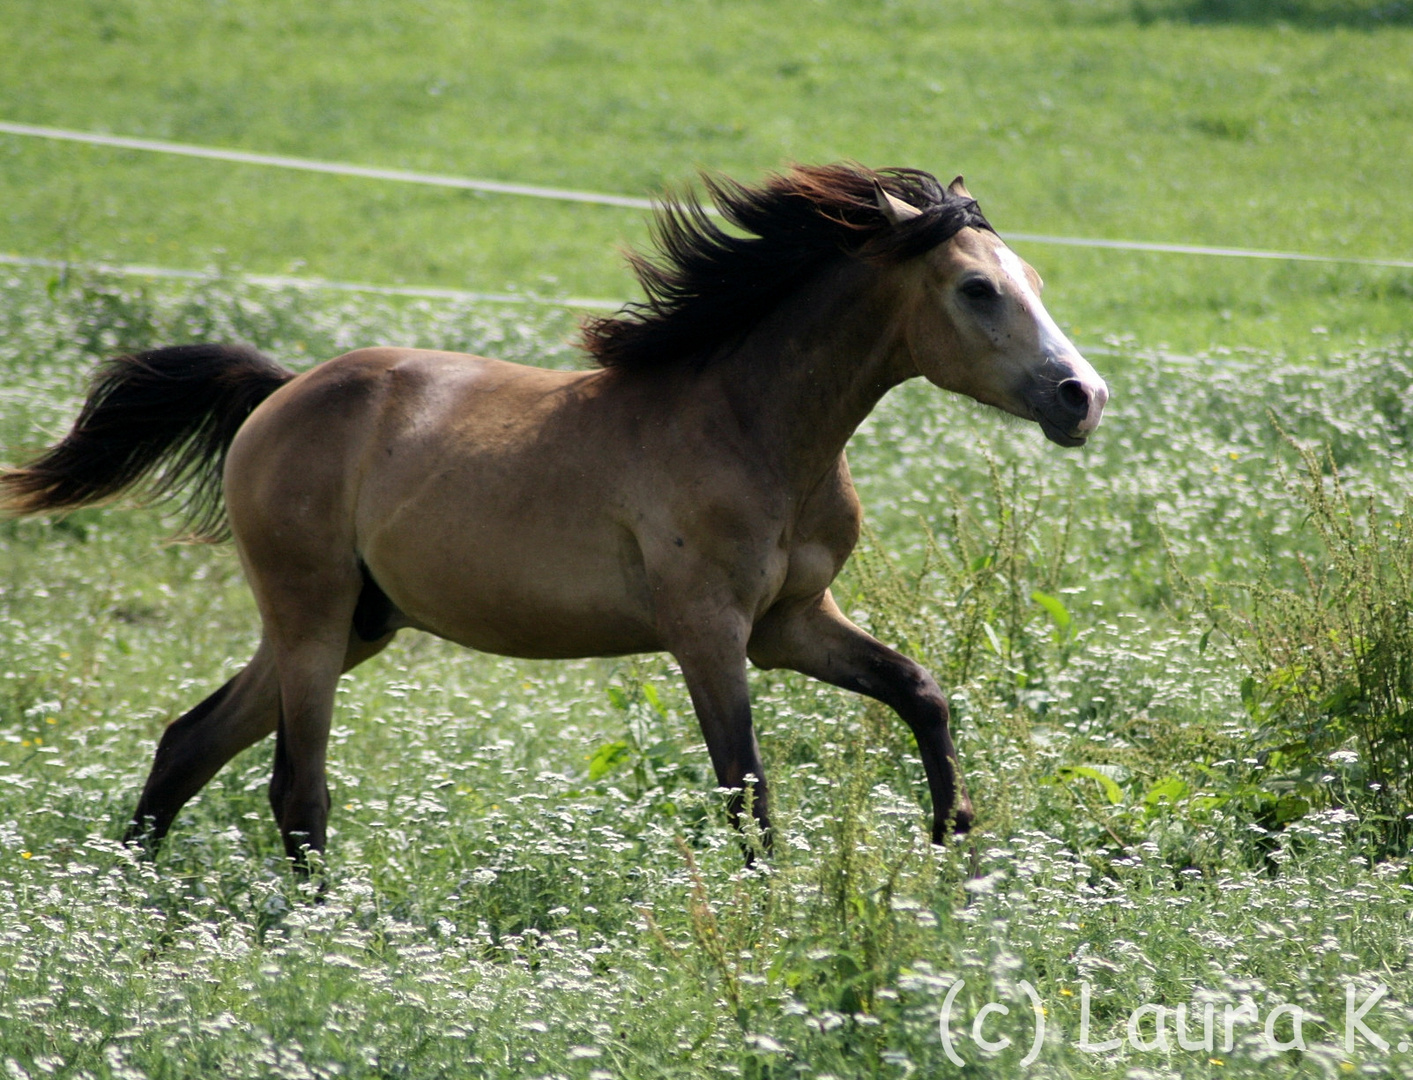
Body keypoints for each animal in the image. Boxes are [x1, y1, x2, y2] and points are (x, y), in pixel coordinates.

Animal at [0, 162, 1102, 870]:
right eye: (977, 288)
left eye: (1037, 282)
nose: (1080, 398)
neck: (751, 427)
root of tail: (279, 395)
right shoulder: (707, 633)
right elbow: (746, 787)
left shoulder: (791, 624)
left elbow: (920, 692)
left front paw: (953, 837)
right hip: (311, 619)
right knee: (296, 793)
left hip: (354, 623)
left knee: (189, 742)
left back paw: (131, 900)